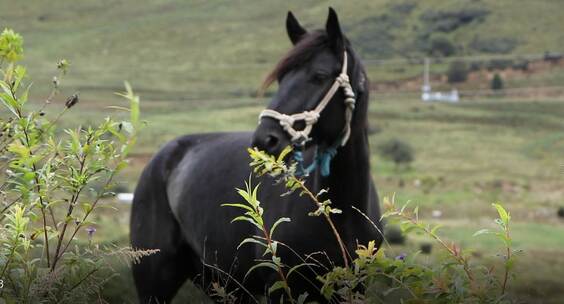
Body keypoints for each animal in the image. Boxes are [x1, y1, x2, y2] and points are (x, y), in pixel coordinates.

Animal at [130, 8, 382, 302]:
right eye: (282, 78)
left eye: (319, 75)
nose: (265, 139)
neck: (340, 216)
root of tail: (161, 157)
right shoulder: (282, 285)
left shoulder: (354, 286)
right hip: (155, 282)